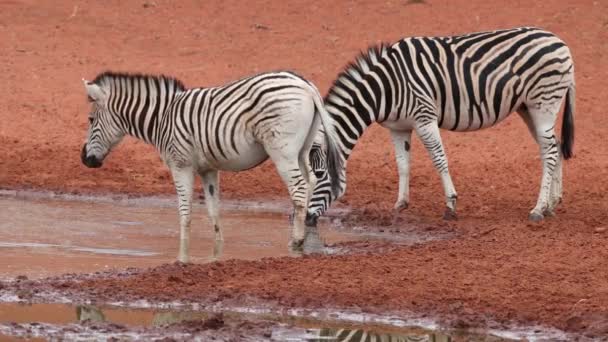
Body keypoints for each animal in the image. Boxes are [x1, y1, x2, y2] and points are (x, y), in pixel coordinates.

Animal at [79, 69, 342, 262]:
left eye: (90, 120)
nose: (84, 159)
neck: (162, 118)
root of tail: (305, 85)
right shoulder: (208, 169)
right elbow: (213, 210)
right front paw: (218, 251)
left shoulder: (181, 164)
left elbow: (185, 212)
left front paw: (183, 255)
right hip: (302, 149)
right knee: (310, 181)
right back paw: (299, 237)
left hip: (282, 150)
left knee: (298, 188)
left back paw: (296, 242)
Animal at [304, 26, 576, 224]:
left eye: (319, 175)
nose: (306, 220)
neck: (384, 89)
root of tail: (560, 42)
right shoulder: (398, 127)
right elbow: (403, 165)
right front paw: (400, 205)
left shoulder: (424, 116)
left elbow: (439, 159)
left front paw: (450, 204)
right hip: (528, 108)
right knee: (554, 146)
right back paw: (552, 203)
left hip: (543, 104)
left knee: (550, 151)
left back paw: (538, 209)